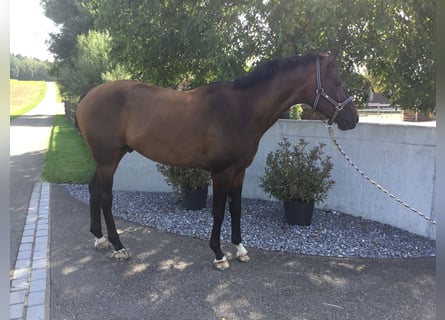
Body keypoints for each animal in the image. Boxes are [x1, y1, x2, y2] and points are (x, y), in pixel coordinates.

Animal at [76, 50, 360, 270]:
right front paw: (219, 254)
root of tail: (87, 96)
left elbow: (236, 209)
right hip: (108, 160)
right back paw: (118, 246)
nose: (353, 119)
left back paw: (99, 238)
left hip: (106, 160)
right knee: (105, 197)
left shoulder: (239, 171)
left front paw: (240, 249)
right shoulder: (221, 172)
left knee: (93, 189)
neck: (240, 109)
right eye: (337, 80)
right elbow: (219, 211)